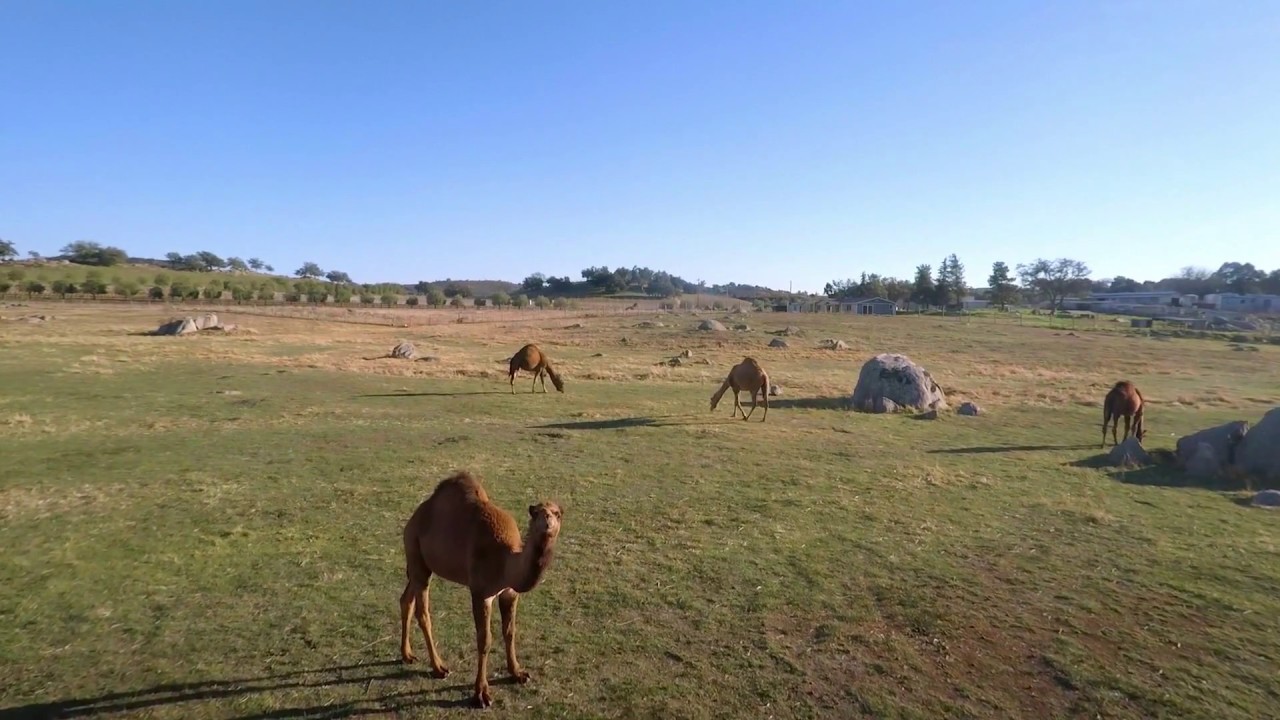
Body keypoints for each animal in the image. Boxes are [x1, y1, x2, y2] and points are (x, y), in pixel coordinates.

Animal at [399, 470, 563, 709]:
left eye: (557, 513)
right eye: (536, 513)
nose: (548, 522)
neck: (506, 560)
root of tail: (413, 519)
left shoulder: (509, 593)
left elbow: (509, 631)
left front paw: (518, 673)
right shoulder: (481, 592)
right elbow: (484, 640)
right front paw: (481, 695)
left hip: (419, 563)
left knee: (406, 600)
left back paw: (407, 655)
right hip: (415, 551)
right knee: (423, 613)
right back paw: (439, 667)